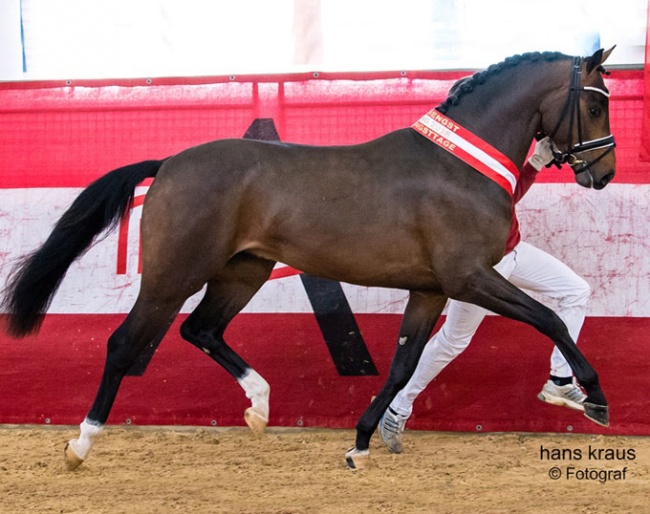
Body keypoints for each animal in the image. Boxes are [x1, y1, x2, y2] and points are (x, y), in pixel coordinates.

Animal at [2, 48, 616, 468]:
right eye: (591, 102)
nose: (604, 173)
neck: (460, 166)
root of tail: (170, 162)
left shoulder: (430, 288)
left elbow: (403, 364)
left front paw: (361, 444)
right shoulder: (469, 278)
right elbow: (551, 319)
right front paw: (592, 397)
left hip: (242, 271)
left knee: (201, 329)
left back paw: (259, 406)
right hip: (172, 275)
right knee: (126, 343)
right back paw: (81, 444)